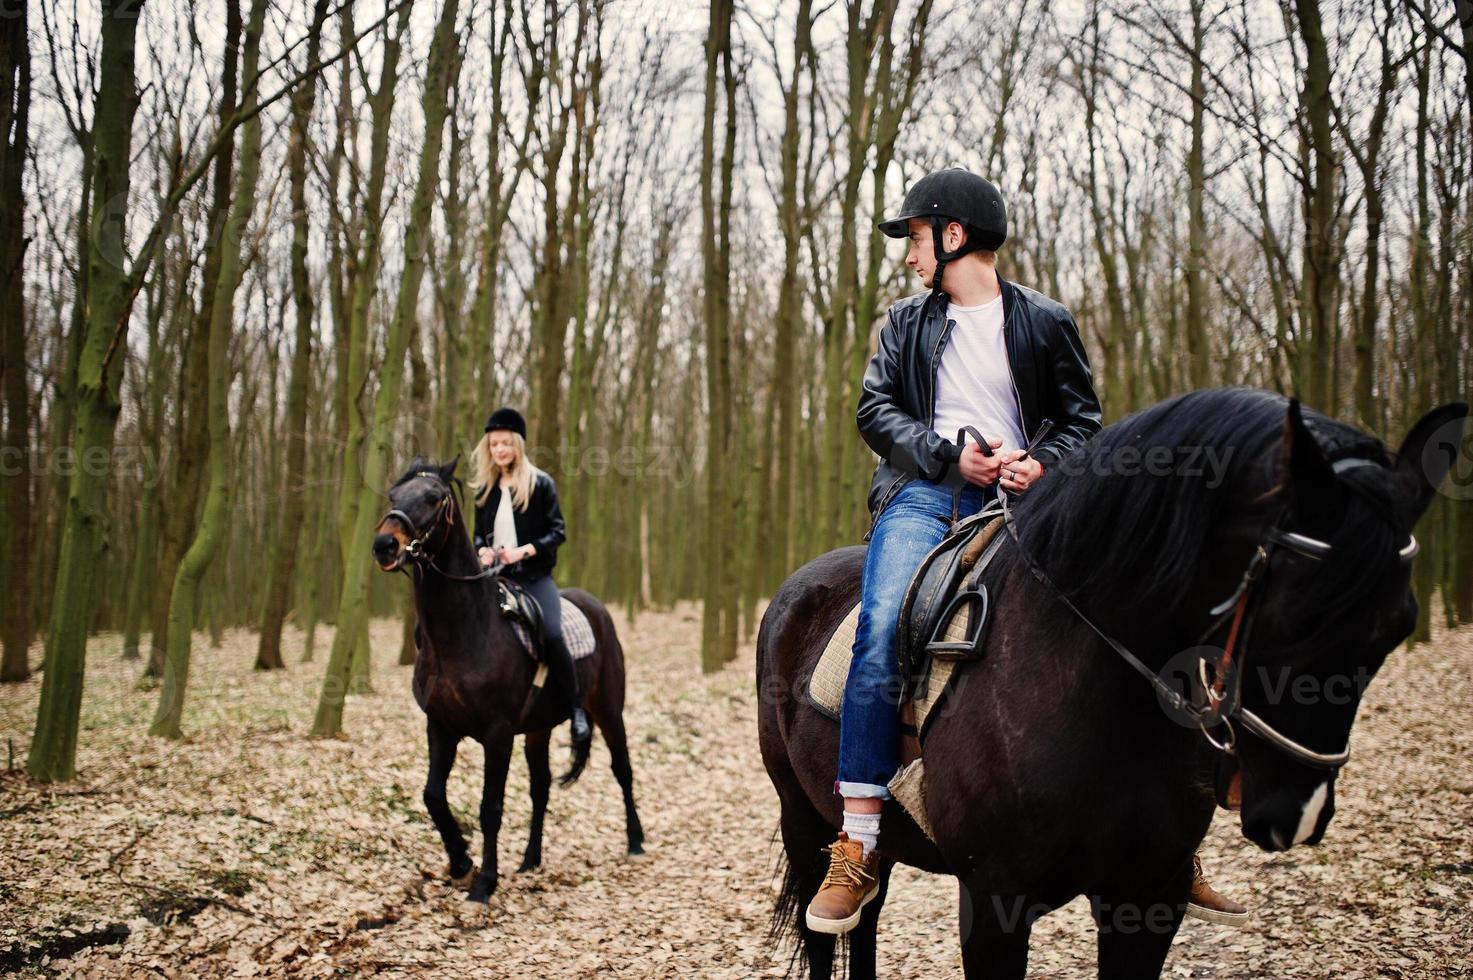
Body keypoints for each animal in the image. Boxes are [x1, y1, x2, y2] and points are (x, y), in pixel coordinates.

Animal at [371, 459, 642, 901]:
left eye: (433, 498)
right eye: (394, 495)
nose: (385, 545)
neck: (466, 632)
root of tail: (595, 606)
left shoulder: (497, 735)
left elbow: (490, 807)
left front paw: (484, 883)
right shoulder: (441, 727)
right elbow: (432, 795)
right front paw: (460, 862)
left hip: (608, 710)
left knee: (623, 770)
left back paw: (636, 842)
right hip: (538, 729)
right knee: (541, 788)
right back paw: (530, 859)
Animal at [760, 386, 1461, 972]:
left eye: (1398, 627)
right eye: (1295, 614)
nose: (1299, 811)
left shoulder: (1148, 903)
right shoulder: (994, 903)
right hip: (804, 818)